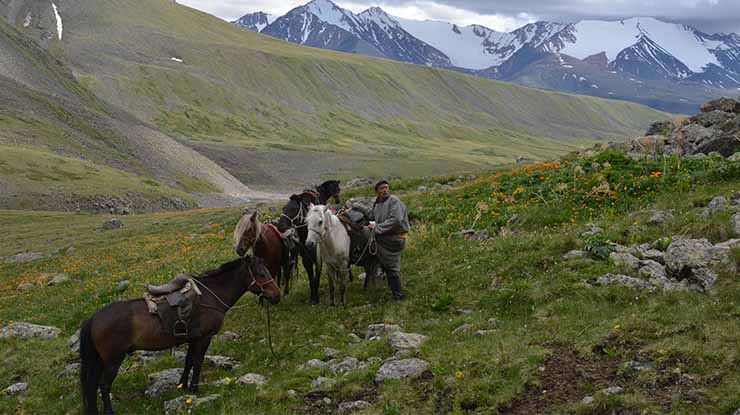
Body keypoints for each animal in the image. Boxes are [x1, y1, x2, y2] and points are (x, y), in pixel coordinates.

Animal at [79, 255, 279, 415]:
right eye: (261, 274)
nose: (276, 295)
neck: (210, 297)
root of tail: (93, 318)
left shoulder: (192, 339)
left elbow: (188, 361)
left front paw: (183, 386)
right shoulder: (204, 338)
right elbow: (198, 363)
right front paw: (195, 389)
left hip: (99, 360)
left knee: (92, 386)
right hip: (113, 359)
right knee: (104, 385)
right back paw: (108, 411)